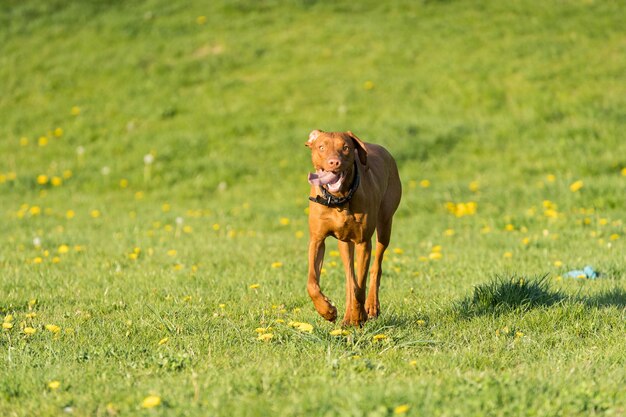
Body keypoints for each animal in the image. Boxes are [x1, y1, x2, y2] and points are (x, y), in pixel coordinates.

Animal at [306, 129, 400, 324]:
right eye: (321, 147)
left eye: (346, 148)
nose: (334, 162)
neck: (339, 200)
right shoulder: (317, 240)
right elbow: (312, 283)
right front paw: (326, 310)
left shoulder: (363, 242)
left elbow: (360, 286)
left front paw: (358, 316)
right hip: (344, 243)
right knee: (350, 277)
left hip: (385, 224)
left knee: (375, 267)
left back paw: (370, 306)